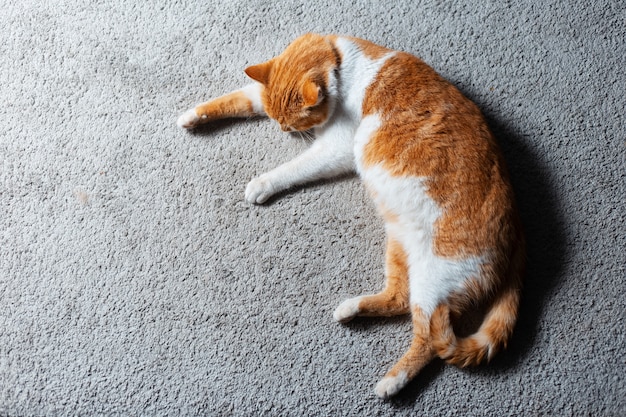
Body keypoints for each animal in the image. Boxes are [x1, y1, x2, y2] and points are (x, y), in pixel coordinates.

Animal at [178, 32, 524, 396]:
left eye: (292, 122)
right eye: (278, 120)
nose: (284, 131)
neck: (343, 64)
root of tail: (517, 227)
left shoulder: (336, 149)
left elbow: (294, 168)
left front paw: (262, 183)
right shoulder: (258, 94)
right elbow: (233, 99)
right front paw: (192, 115)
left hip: (435, 277)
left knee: (431, 339)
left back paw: (391, 382)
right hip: (399, 246)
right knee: (400, 299)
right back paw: (351, 309)